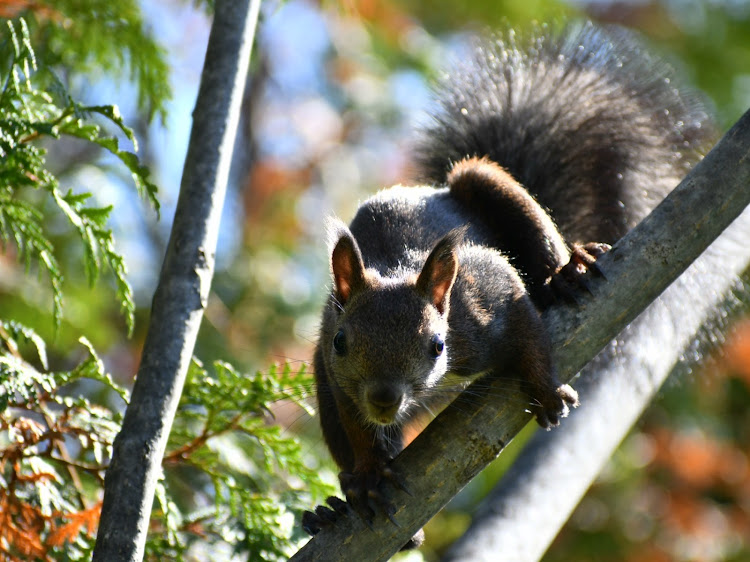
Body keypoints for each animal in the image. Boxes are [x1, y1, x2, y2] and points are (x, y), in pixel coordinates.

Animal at [302, 21, 716, 548]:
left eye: (437, 345)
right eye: (341, 341)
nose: (384, 399)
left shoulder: (489, 298)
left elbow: (527, 326)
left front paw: (545, 388)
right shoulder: (337, 369)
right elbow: (355, 422)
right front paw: (371, 471)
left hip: (485, 183)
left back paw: (567, 270)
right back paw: (337, 504)